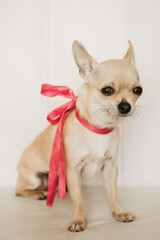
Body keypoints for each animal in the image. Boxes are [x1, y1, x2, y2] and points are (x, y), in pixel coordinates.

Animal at [15, 40, 142, 232]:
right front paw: (78, 220)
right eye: (107, 90)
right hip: (32, 176)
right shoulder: (72, 170)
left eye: (138, 90)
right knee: (19, 191)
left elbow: (112, 193)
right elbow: (79, 199)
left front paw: (118, 212)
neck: (98, 128)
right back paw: (37, 193)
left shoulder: (110, 168)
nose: (126, 106)